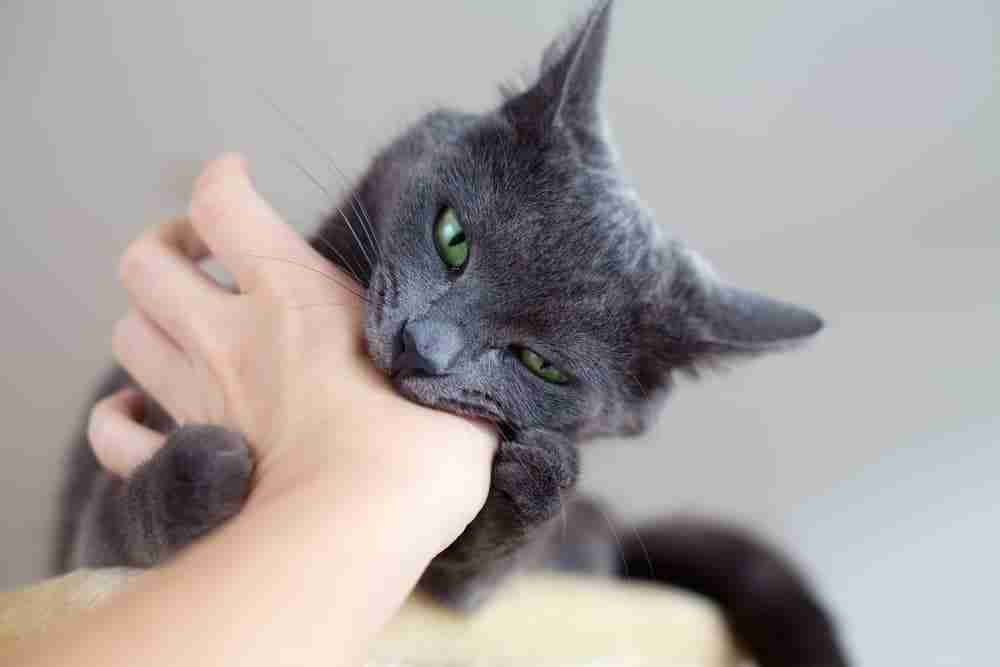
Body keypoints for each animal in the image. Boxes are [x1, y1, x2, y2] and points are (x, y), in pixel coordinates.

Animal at [54, 2, 848, 664]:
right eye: (452, 238)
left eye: (540, 364)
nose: (422, 344)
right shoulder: (85, 546)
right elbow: (118, 526)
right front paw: (204, 468)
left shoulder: (458, 594)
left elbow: (472, 577)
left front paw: (541, 482)